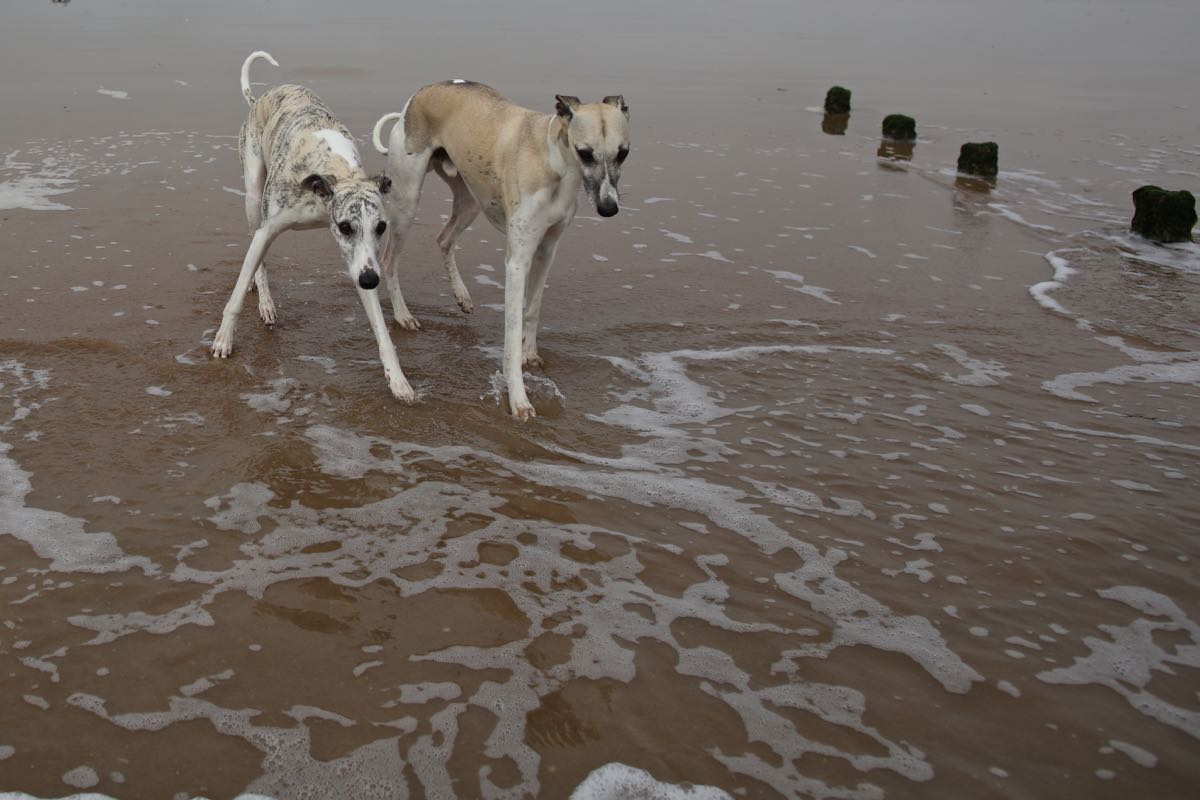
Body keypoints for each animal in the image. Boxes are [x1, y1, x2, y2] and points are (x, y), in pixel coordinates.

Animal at [206, 50, 412, 400]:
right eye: (345, 226)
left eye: (382, 227)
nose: (371, 280)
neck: (336, 172)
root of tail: (259, 99)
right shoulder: (270, 228)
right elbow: (235, 297)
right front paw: (224, 339)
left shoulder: (359, 259)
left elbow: (382, 332)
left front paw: (397, 379)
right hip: (253, 196)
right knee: (256, 258)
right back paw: (265, 302)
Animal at [372, 81, 633, 419]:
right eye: (585, 153)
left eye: (623, 153)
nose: (608, 208)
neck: (553, 160)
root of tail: (417, 96)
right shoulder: (517, 261)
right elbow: (511, 334)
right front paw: (519, 399)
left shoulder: (546, 250)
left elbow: (532, 309)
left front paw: (531, 354)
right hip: (407, 203)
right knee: (389, 260)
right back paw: (403, 315)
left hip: (470, 200)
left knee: (443, 238)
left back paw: (461, 295)